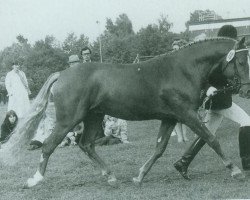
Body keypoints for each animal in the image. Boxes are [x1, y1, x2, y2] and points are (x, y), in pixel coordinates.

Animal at [0, 36, 249, 188]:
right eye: (241, 60)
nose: (246, 90)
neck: (182, 70)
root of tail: (62, 74)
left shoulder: (169, 118)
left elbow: (159, 148)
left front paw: (139, 177)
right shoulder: (186, 114)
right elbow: (211, 139)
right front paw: (235, 171)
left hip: (93, 117)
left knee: (86, 144)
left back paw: (110, 176)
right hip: (68, 120)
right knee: (49, 145)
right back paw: (35, 179)